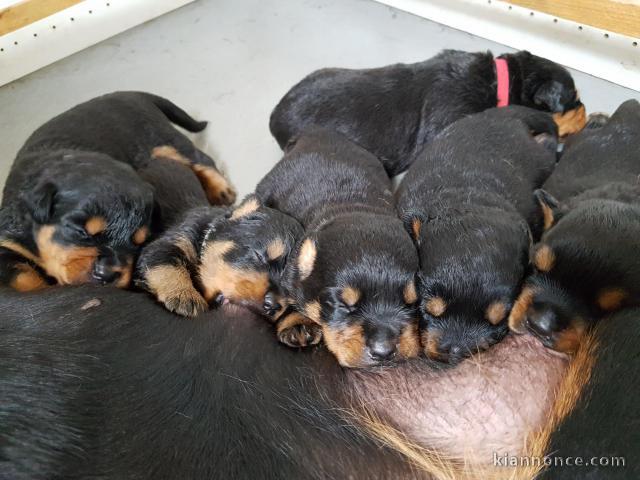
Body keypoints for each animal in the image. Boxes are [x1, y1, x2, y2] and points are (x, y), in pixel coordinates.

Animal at [0, 91, 235, 290]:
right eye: (81, 231)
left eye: (138, 243)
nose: (107, 275)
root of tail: (132, 93)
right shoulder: (7, 242)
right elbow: (24, 277)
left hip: (162, 137)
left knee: (198, 157)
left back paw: (222, 190)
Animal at [252, 127, 422, 368]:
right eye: (341, 304)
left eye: (412, 303)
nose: (384, 352)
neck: (355, 208)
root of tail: (316, 133)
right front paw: (298, 323)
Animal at [398, 107, 556, 364]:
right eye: (428, 309)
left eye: (498, 321)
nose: (455, 351)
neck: (466, 200)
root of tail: (503, 115)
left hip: (538, 158)